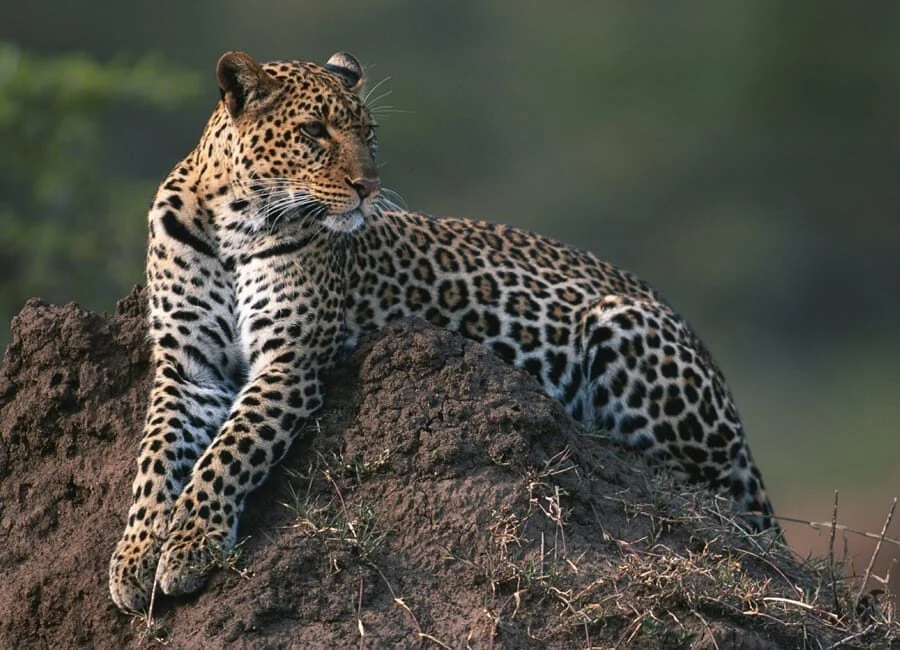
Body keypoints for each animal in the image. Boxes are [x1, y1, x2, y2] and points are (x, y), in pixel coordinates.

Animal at [108, 50, 777, 613]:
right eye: (314, 132)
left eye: (369, 134)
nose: (368, 188)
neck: (231, 222)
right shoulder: (187, 368)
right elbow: (156, 458)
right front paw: (135, 557)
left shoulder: (289, 360)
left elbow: (230, 451)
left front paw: (189, 547)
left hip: (627, 332)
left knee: (701, 492)